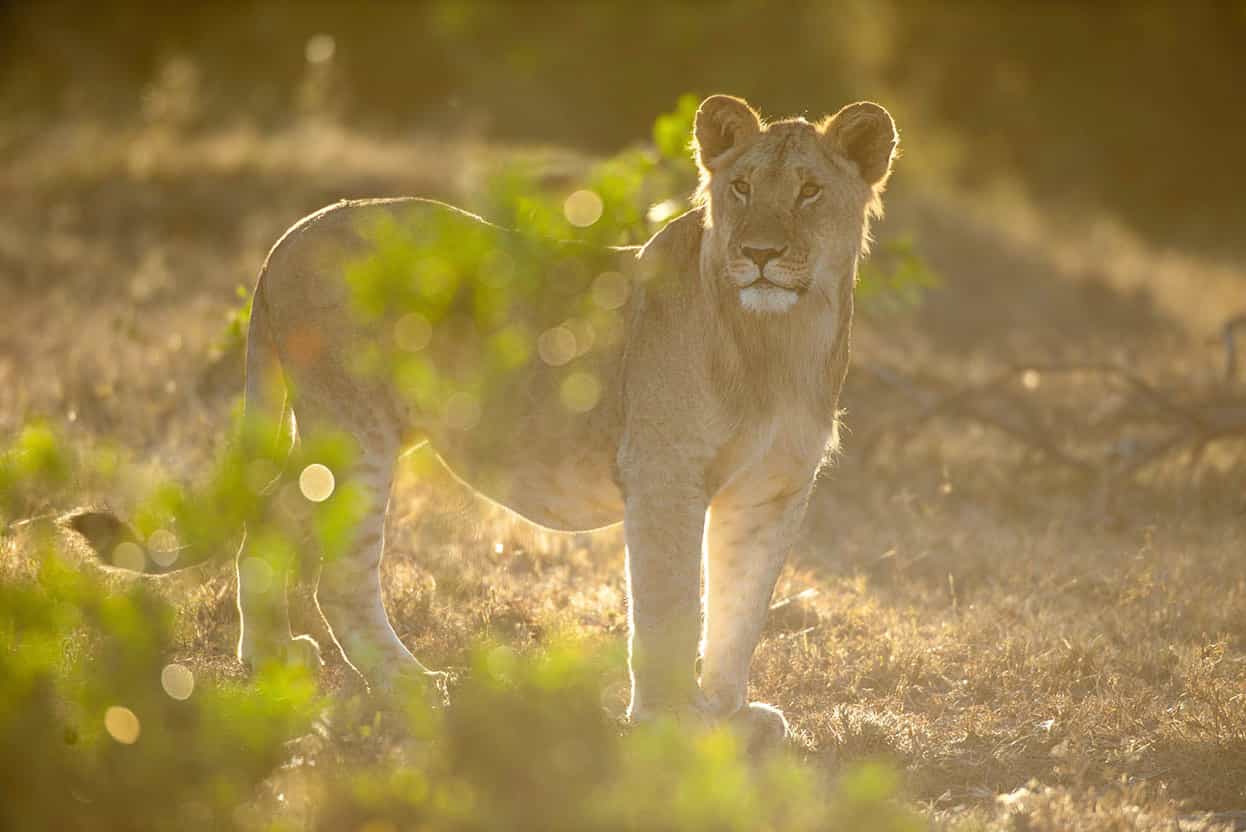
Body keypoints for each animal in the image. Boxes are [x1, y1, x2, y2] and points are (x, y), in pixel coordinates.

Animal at [70, 95, 897, 742]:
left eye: (811, 191)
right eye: (743, 187)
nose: (757, 253)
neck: (780, 341)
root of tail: (287, 238)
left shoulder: (773, 492)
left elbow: (739, 606)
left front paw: (727, 711)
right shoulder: (664, 474)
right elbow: (669, 604)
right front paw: (669, 721)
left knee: (267, 518)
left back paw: (270, 659)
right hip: (356, 430)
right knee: (340, 576)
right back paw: (411, 684)